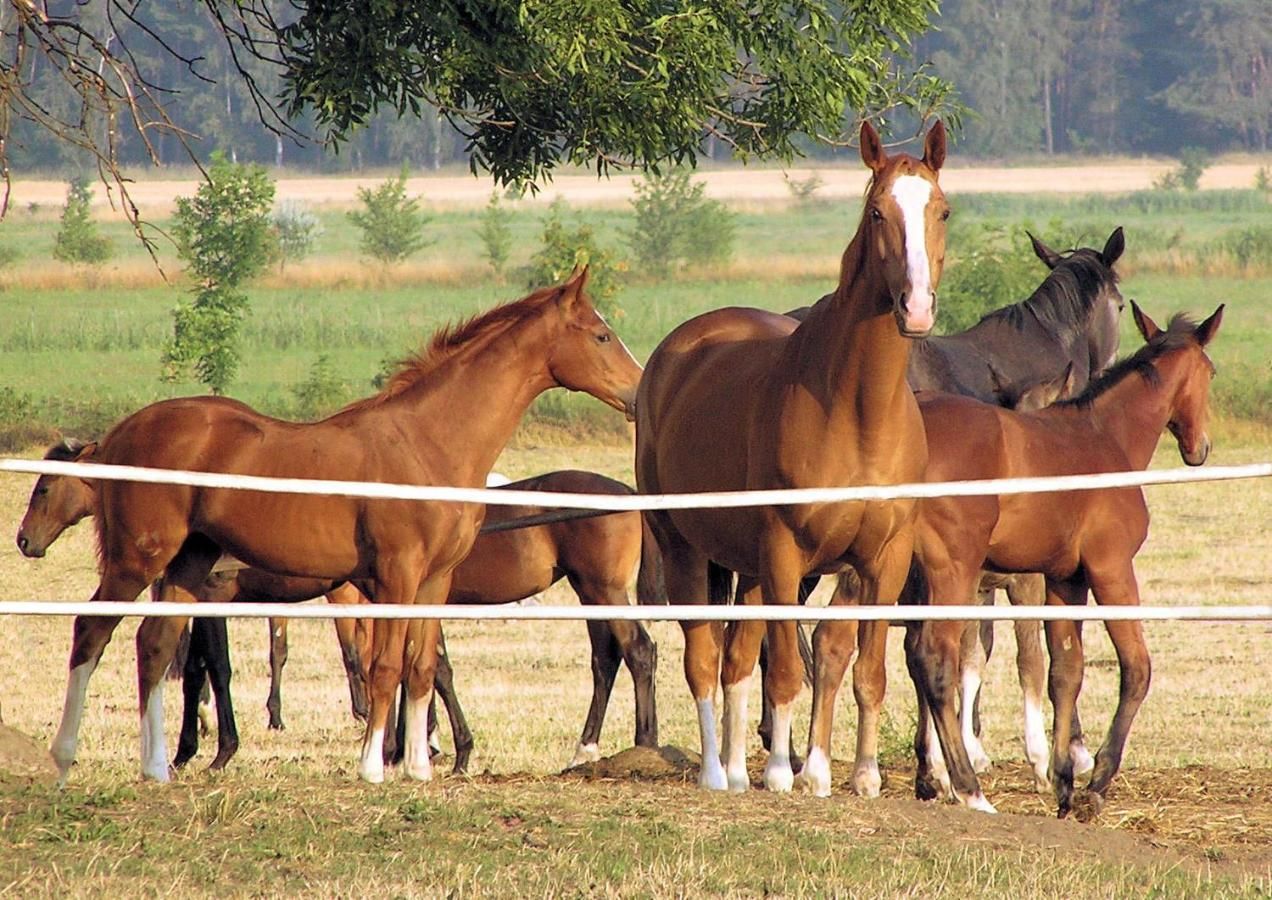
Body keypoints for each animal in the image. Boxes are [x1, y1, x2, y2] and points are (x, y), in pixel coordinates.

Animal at [52, 269, 646, 788]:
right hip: (137, 559)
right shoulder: (396, 577)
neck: (428, 441)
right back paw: (64, 756)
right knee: (92, 631)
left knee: (153, 645)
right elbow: (384, 667)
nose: (639, 393)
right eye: (602, 334)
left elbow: (421, 668)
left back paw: (156, 767)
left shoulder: (434, 582)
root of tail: (123, 432)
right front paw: (374, 766)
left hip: (186, 565)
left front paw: (419, 766)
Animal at [636, 121, 961, 803]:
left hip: (752, 566)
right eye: (876, 211)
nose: (915, 308)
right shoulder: (787, 552)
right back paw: (716, 772)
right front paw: (786, 774)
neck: (855, 411)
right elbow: (786, 671)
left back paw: (737, 771)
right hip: (685, 547)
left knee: (736, 661)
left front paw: (862, 776)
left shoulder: (884, 560)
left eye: (942, 209)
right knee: (704, 658)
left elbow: (866, 672)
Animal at [905, 300, 1221, 813]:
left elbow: (1065, 673)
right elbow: (1136, 667)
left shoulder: (1063, 579)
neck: (1104, 437)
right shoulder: (1111, 570)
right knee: (934, 659)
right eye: (1211, 371)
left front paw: (1064, 782)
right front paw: (1097, 782)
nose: (1200, 448)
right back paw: (969, 788)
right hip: (953, 571)